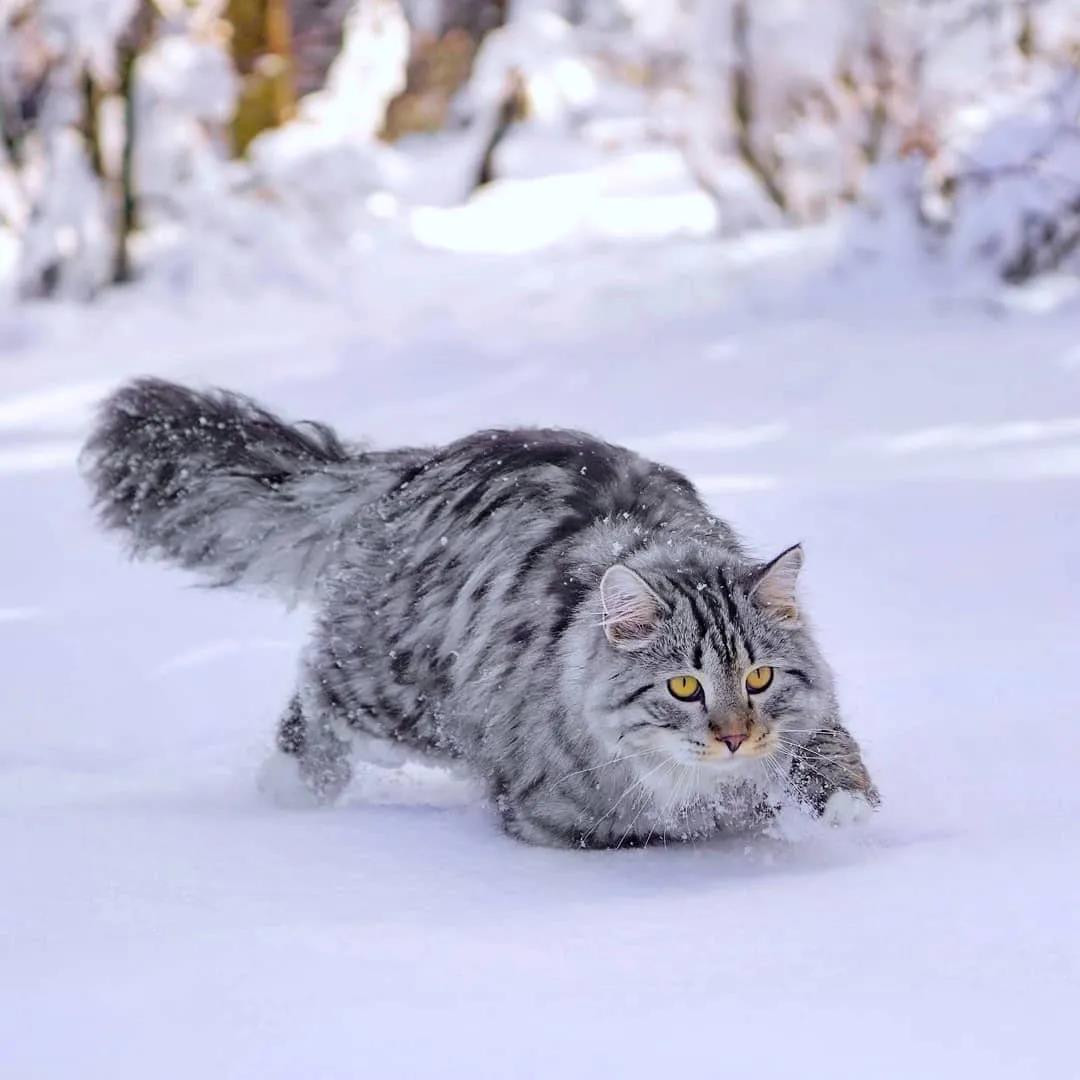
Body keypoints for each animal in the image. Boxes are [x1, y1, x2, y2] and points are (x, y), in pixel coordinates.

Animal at [82, 378, 876, 842]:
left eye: (759, 679)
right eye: (684, 686)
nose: (735, 738)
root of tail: (414, 468)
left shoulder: (812, 723)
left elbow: (832, 762)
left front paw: (844, 819)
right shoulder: (547, 811)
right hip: (392, 693)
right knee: (315, 698)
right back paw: (290, 794)